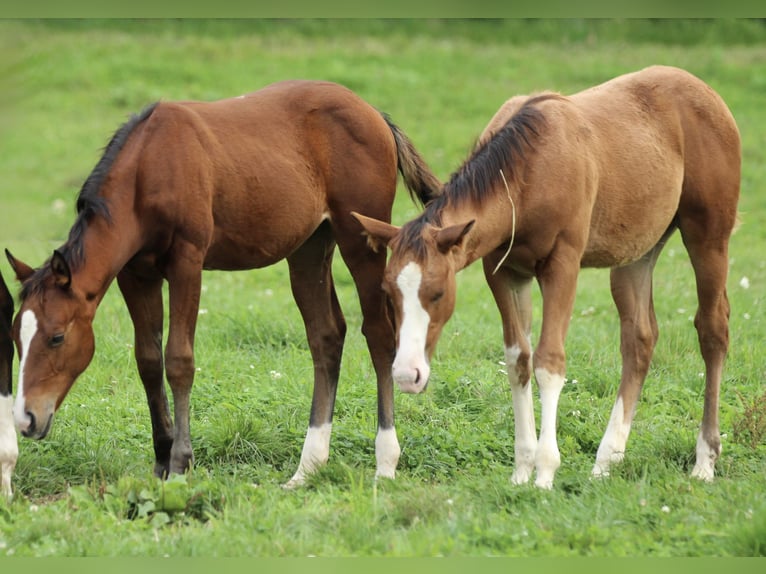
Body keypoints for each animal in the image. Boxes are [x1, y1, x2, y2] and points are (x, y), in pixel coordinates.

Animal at [3, 79, 441, 487]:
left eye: (56, 337)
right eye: (17, 337)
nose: (27, 418)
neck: (148, 169)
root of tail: (373, 113)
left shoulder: (187, 262)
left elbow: (179, 360)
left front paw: (180, 462)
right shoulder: (135, 274)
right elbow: (148, 361)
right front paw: (161, 458)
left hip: (360, 241)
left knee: (379, 334)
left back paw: (385, 461)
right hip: (308, 250)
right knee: (326, 336)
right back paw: (307, 468)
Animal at [353, 65, 741, 489]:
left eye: (438, 293)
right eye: (389, 294)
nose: (407, 375)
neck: (527, 175)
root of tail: (706, 93)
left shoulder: (562, 266)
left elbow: (549, 361)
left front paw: (544, 472)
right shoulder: (504, 272)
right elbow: (518, 360)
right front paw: (522, 469)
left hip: (708, 236)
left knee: (713, 329)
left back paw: (704, 461)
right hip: (638, 251)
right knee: (639, 338)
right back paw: (606, 460)